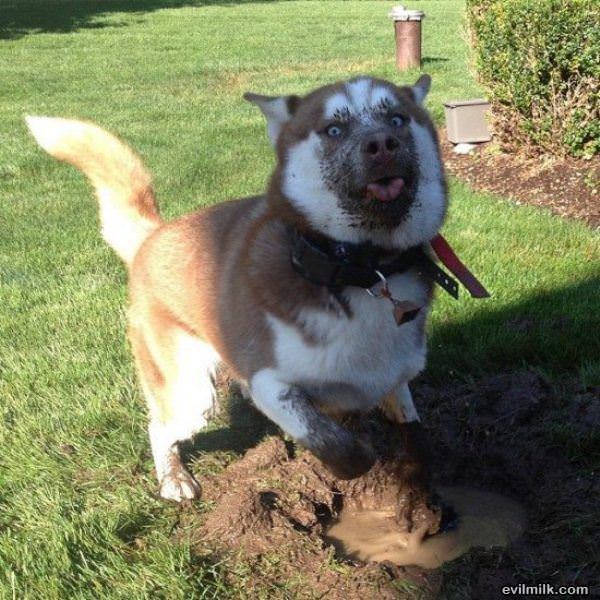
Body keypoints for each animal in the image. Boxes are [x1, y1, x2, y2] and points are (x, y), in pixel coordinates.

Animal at [27, 74, 448, 502]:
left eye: (397, 119)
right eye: (333, 129)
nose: (382, 144)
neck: (364, 272)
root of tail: (153, 236)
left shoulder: (398, 373)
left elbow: (409, 422)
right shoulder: (269, 382)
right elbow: (342, 448)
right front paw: (358, 454)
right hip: (192, 395)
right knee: (159, 426)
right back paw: (173, 478)